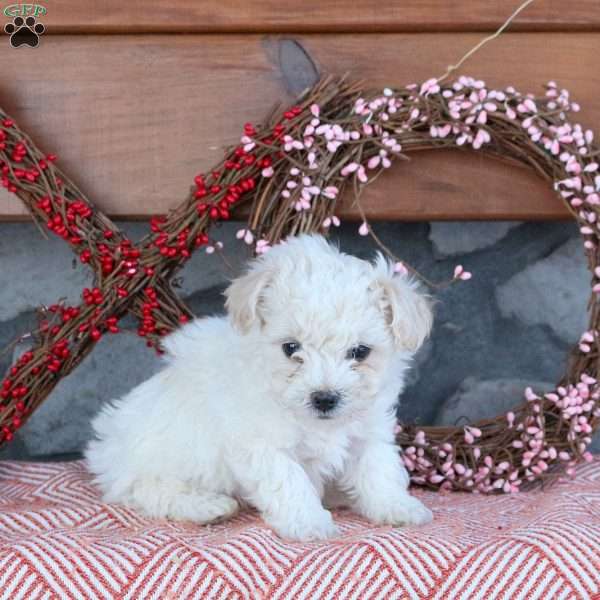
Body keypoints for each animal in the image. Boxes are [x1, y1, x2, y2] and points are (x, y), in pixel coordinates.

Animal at [85, 233, 432, 540]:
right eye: (291, 348)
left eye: (360, 352)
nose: (324, 398)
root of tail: (107, 445)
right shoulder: (262, 444)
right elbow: (290, 481)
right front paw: (308, 523)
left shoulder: (368, 432)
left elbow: (379, 469)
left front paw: (399, 506)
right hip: (154, 458)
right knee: (146, 489)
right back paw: (207, 506)